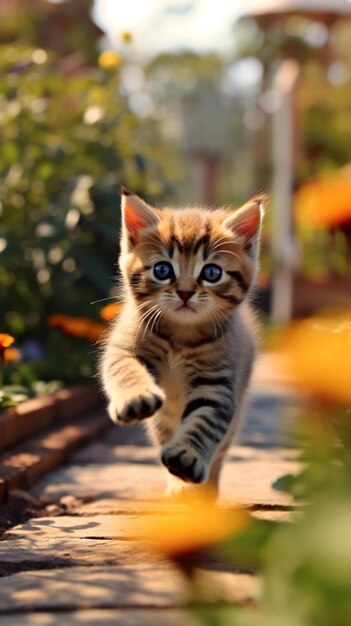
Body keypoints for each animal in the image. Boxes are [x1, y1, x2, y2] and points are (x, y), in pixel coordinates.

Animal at [99, 188, 264, 494]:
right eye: (163, 270)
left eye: (211, 273)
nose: (185, 292)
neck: (180, 336)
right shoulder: (125, 348)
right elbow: (124, 369)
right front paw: (136, 396)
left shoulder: (218, 383)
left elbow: (206, 422)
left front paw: (187, 457)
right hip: (162, 421)